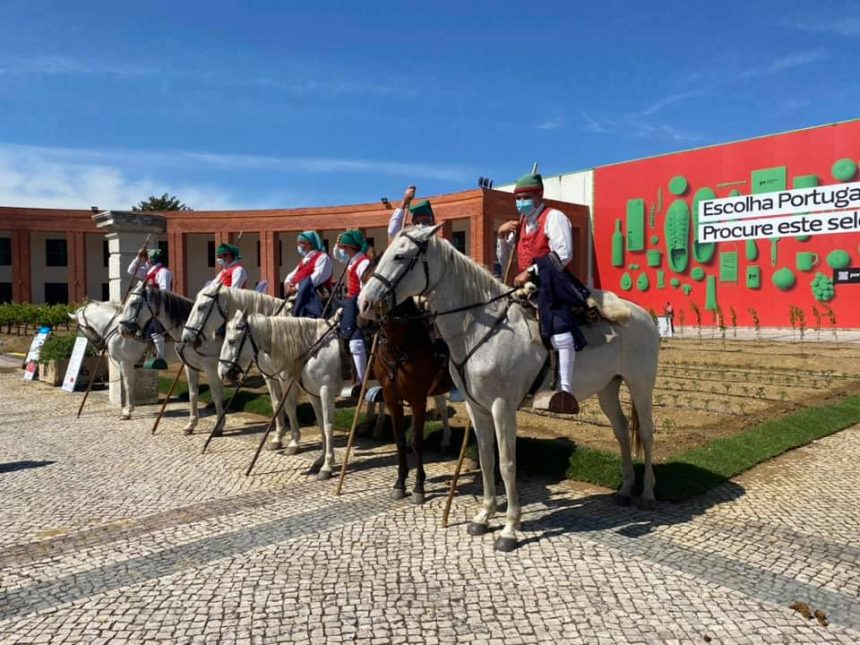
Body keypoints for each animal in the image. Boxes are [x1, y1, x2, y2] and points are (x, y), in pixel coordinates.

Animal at [121, 286, 228, 432]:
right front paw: (191, 424)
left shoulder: (210, 367)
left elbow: (216, 394)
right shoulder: (190, 367)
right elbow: (193, 393)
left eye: (133, 303)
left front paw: (219, 425)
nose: (122, 330)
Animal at [218, 312, 342, 478]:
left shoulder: (324, 390)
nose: (222, 373)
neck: (314, 350)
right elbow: (319, 423)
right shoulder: (312, 393)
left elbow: (326, 425)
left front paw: (327, 465)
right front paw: (320, 460)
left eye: (231, 341)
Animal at [356, 224, 660, 552]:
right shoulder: (477, 409)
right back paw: (626, 489)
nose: (364, 304)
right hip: (607, 389)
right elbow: (487, 459)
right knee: (621, 432)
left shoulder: (501, 407)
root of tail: (643, 314)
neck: (478, 328)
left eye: (399, 256)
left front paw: (510, 529)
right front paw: (484, 516)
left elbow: (506, 462)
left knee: (645, 434)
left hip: (641, 385)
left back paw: (647, 494)